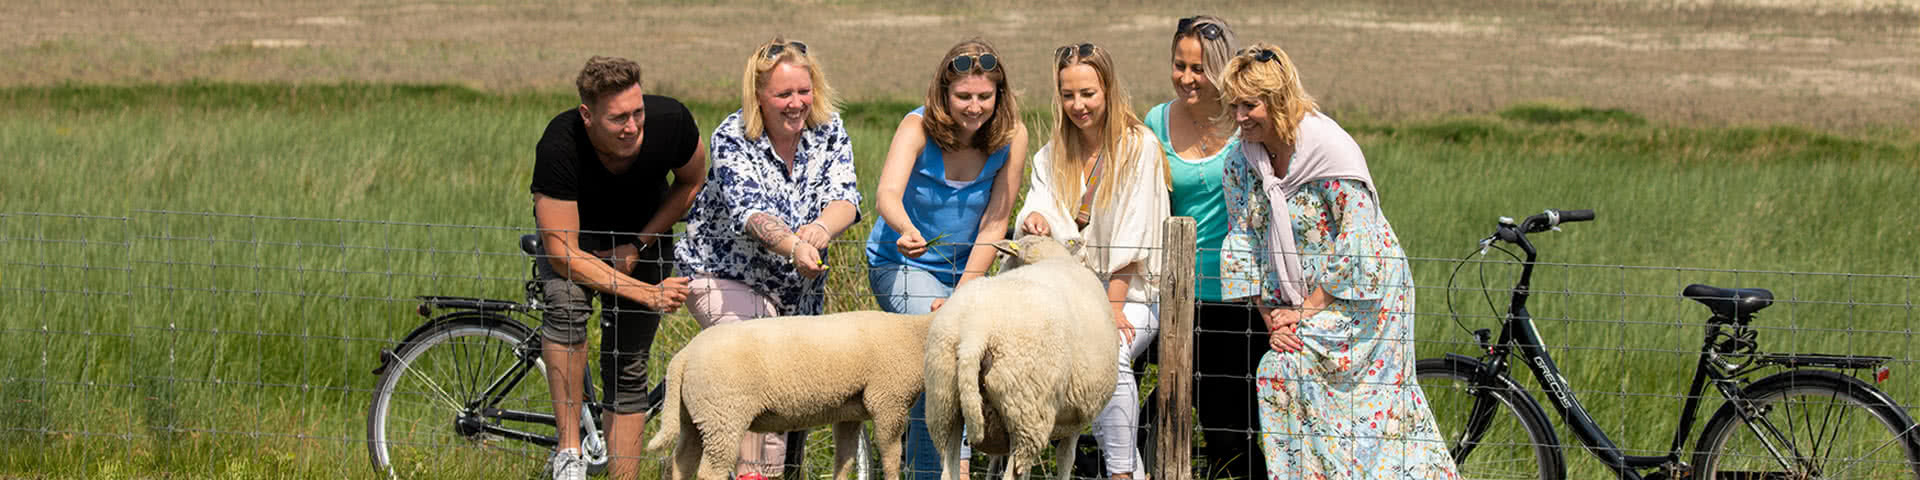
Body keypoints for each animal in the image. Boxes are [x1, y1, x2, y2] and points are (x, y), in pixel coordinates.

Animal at [648, 311, 933, 480]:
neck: (916, 334)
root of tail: (683, 357)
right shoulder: (889, 400)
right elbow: (891, 455)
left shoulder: (849, 413)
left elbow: (845, 459)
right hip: (723, 415)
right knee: (710, 471)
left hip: (694, 416)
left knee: (681, 461)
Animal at [921, 234, 1121, 480]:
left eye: (1003, 257)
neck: (1050, 257)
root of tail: (975, 331)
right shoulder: (1079, 414)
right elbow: (1066, 460)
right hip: (1027, 409)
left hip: (944, 401)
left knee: (949, 467)